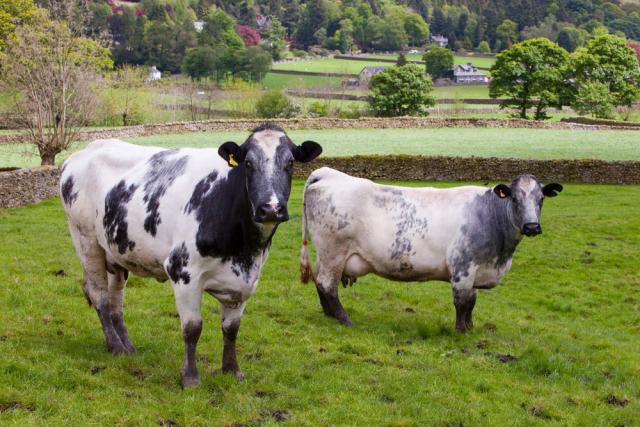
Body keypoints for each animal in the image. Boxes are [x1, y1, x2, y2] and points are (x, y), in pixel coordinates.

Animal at [59, 123, 322, 386]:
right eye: (248, 163)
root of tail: (81, 153)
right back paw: (115, 346)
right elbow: (192, 328)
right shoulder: (183, 272)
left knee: (116, 301)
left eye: (290, 162)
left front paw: (232, 370)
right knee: (100, 296)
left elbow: (232, 329)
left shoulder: (245, 282)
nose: (270, 209)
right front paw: (190, 377)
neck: (245, 250)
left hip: (115, 251)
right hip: (86, 240)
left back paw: (127, 345)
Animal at [299, 168, 563, 331]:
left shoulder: (475, 271)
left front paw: (471, 327)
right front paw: (460, 331)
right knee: (327, 284)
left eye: (541, 199)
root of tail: (328, 174)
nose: (532, 226)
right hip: (334, 251)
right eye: (515, 199)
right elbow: (462, 302)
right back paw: (345, 319)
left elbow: (472, 302)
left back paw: (330, 315)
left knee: (320, 282)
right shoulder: (463, 267)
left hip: (326, 254)